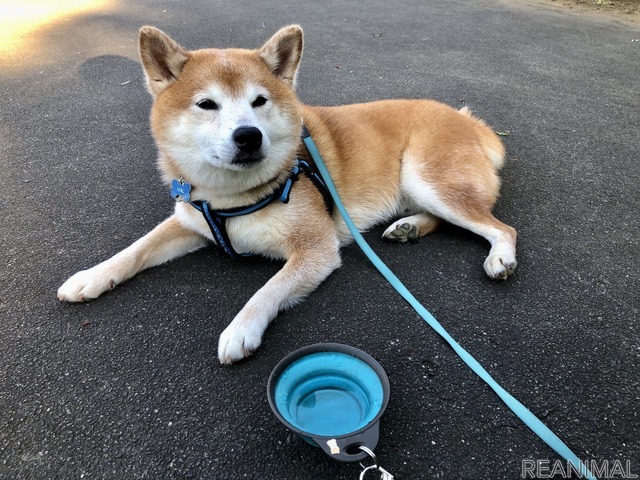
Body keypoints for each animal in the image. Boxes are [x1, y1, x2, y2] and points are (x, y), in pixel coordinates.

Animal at [57, 25, 516, 364]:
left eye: (259, 101)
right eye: (207, 104)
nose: (248, 135)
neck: (233, 198)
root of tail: (470, 122)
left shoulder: (315, 248)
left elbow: (269, 289)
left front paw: (241, 328)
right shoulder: (189, 220)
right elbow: (135, 250)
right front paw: (91, 277)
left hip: (426, 179)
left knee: (501, 227)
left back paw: (499, 257)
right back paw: (409, 227)